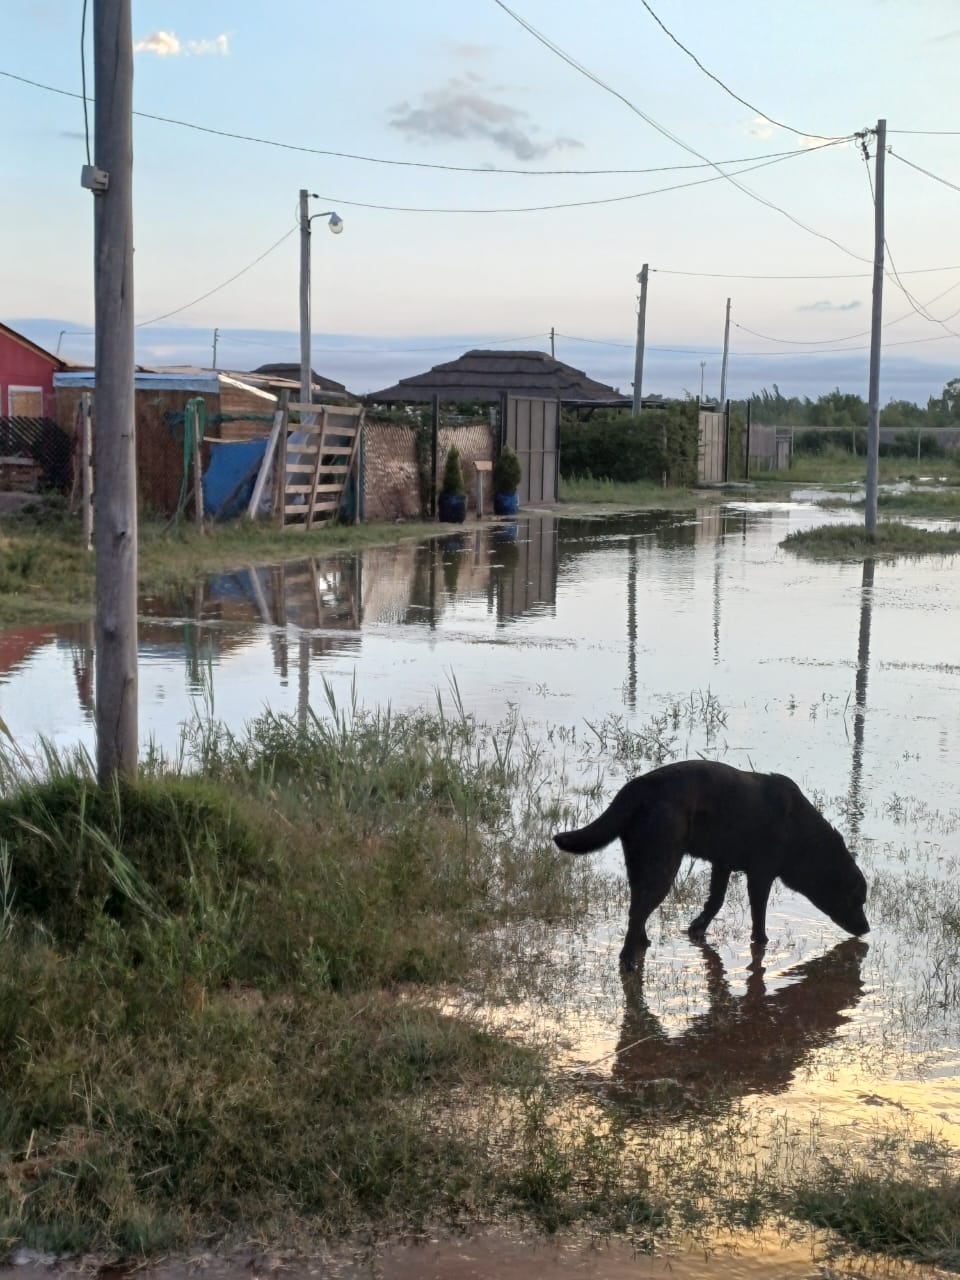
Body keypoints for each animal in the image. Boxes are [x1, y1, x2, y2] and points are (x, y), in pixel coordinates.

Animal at [552, 757, 870, 962]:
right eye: (857, 899)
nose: (867, 929)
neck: (801, 833)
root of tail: (638, 787)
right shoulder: (761, 875)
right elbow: (758, 915)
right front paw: (761, 942)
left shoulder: (722, 864)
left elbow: (715, 901)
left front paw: (697, 927)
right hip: (663, 865)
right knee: (638, 911)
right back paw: (629, 959)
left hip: (640, 863)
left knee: (636, 907)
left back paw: (643, 943)